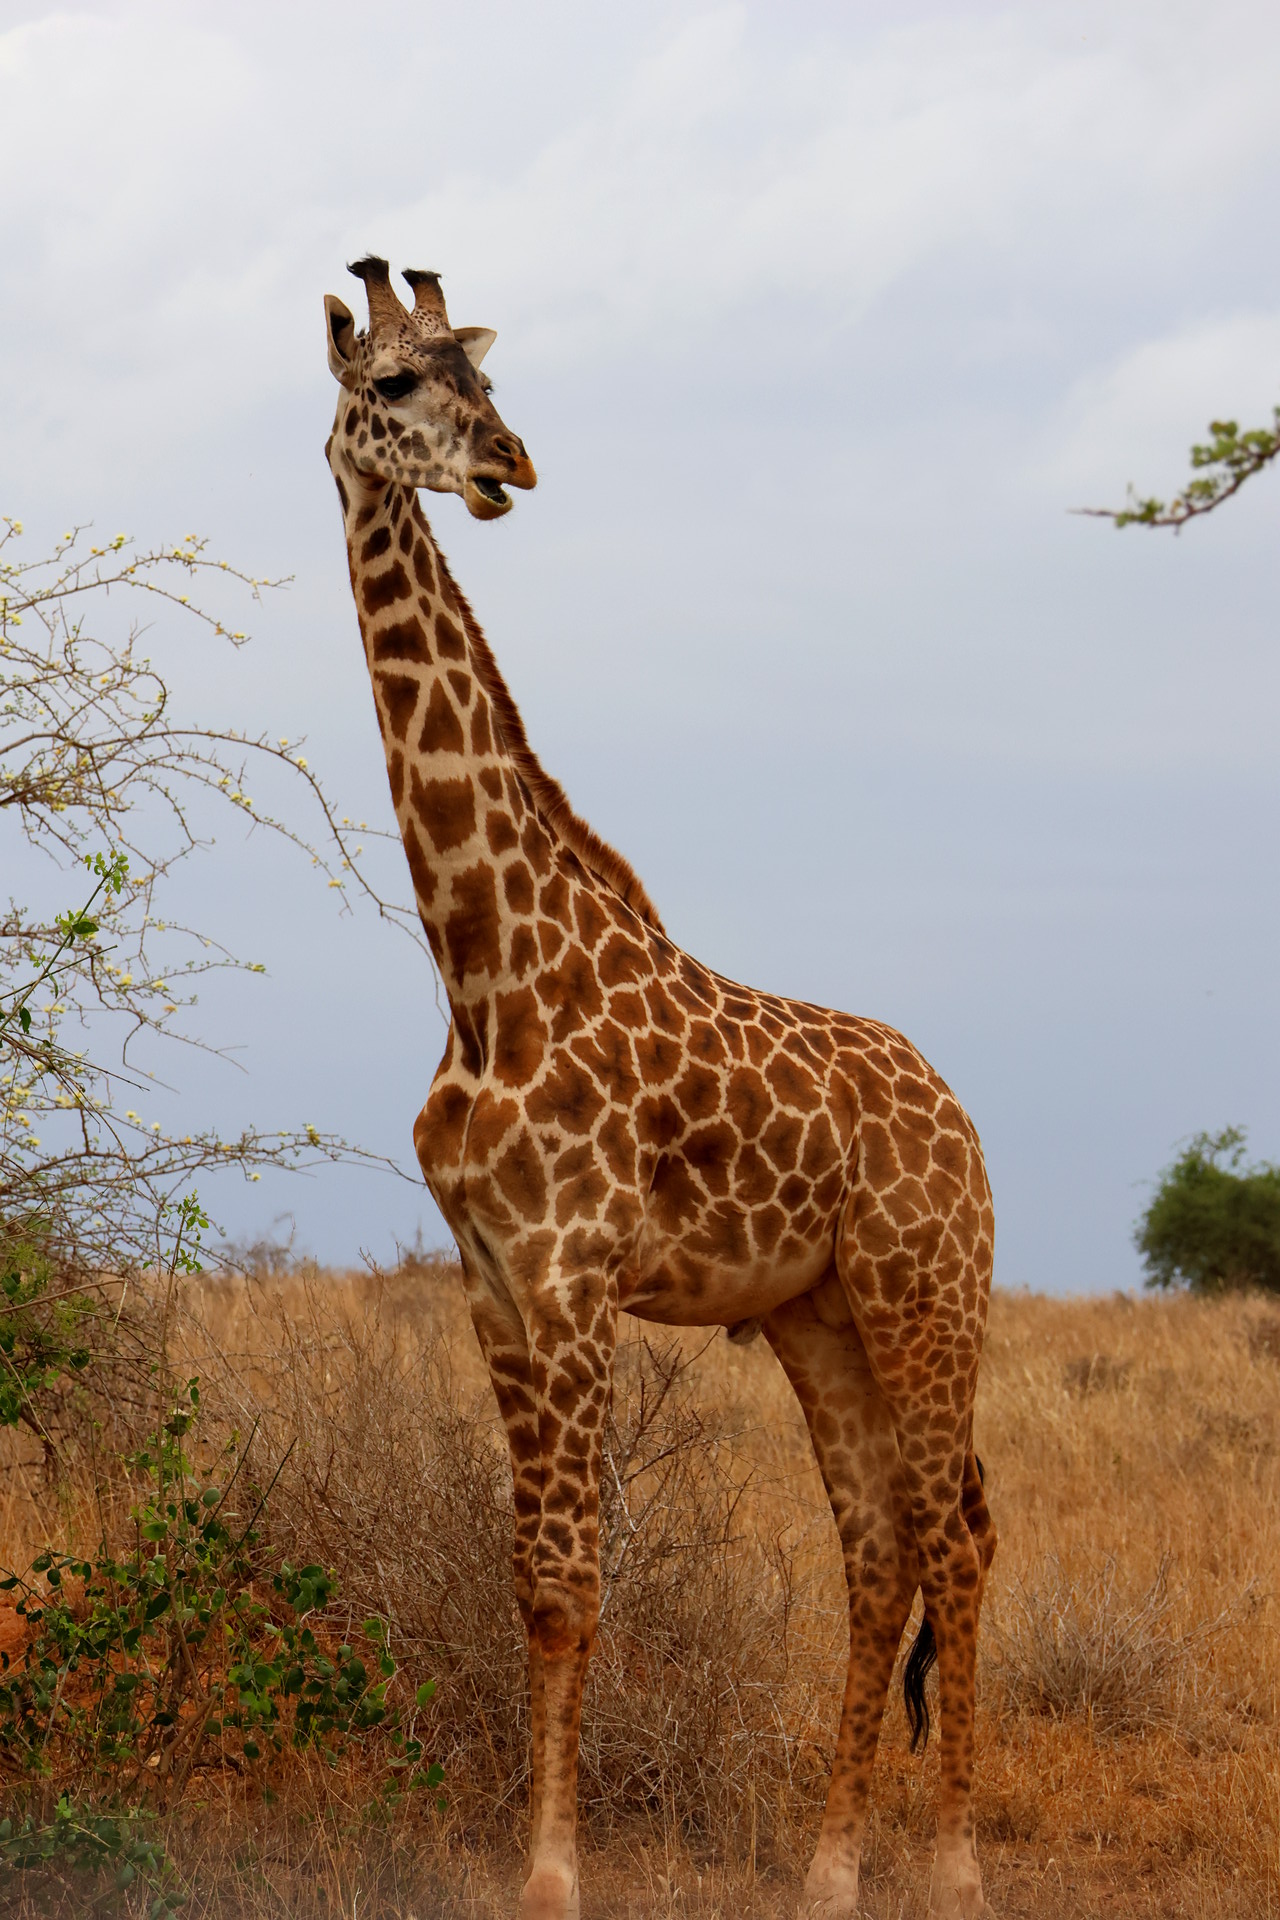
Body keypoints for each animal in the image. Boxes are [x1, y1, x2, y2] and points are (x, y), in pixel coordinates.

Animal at [323, 256, 997, 1920]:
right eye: (395, 386)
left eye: (480, 377)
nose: (510, 464)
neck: (482, 975)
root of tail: (962, 1119)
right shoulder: (495, 1283)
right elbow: (533, 1581)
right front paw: (540, 1858)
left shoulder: (573, 1277)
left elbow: (576, 1586)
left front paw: (552, 1877)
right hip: (823, 1317)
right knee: (879, 1547)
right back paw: (830, 1870)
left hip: (927, 1294)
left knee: (954, 1534)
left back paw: (954, 1866)